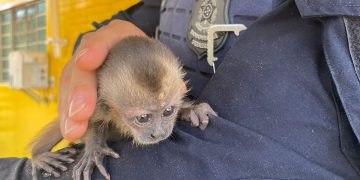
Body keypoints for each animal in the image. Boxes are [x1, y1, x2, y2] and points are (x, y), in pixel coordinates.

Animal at [29, 35, 217, 179]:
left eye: (168, 111)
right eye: (142, 118)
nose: (158, 134)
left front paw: (191, 110)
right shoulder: (98, 101)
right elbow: (89, 122)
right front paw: (94, 151)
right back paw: (39, 156)